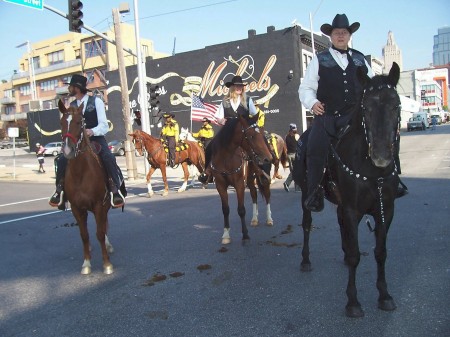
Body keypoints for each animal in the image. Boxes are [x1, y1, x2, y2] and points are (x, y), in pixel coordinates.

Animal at [58, 98, 115, 274]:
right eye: (62, 122)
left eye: (79, 122)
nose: (67, 150)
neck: (80, 173)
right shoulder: (76, 208)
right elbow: (84, 235)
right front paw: (86, 263)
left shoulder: (98, 205)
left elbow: (100, 232)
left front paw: (107, 264)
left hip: (104, 206)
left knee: (104, 225)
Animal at [208, 114, 274, 243]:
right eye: (252, 136)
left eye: (259, 134)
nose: (268, 157)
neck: (225, 158)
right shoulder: (220, 185)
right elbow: (225, 209)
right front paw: (226, 234)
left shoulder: (239, 184)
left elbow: (241, 209)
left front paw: (245, 234)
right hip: (250, 179)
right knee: (254, 194)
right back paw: (254, 219)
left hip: (264, 177)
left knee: (267, 194)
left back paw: (269, 219)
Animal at [294, 63, 402, 318]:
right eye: (366, 108)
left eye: (396, 105)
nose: (381, 156)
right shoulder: (353, 210)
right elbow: (355, 255)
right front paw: (352, 301)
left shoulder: (386, 210)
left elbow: (380, 252)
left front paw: (384, 295)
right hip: (306, 195)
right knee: (306, 224)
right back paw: (305, 260)